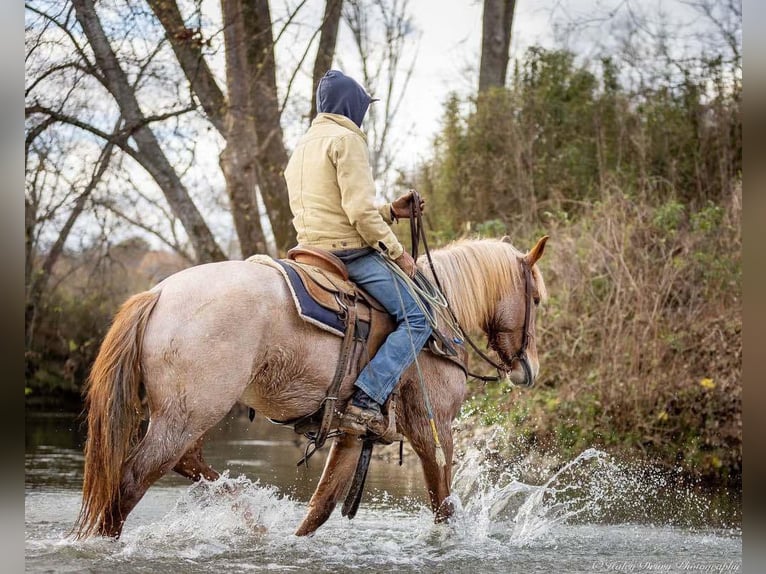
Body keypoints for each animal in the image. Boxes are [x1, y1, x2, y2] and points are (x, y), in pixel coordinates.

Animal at [72, 235, 548, 540]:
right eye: (537, 299)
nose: (530, 368)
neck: (436, 318)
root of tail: (158, 294)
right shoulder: (434, 431)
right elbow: (443, 506)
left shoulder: (354, 435)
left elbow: (319, 509)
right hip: (187, 416)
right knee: (130, 483)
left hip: (188, 416)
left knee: (189, 464)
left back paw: (253, 520)